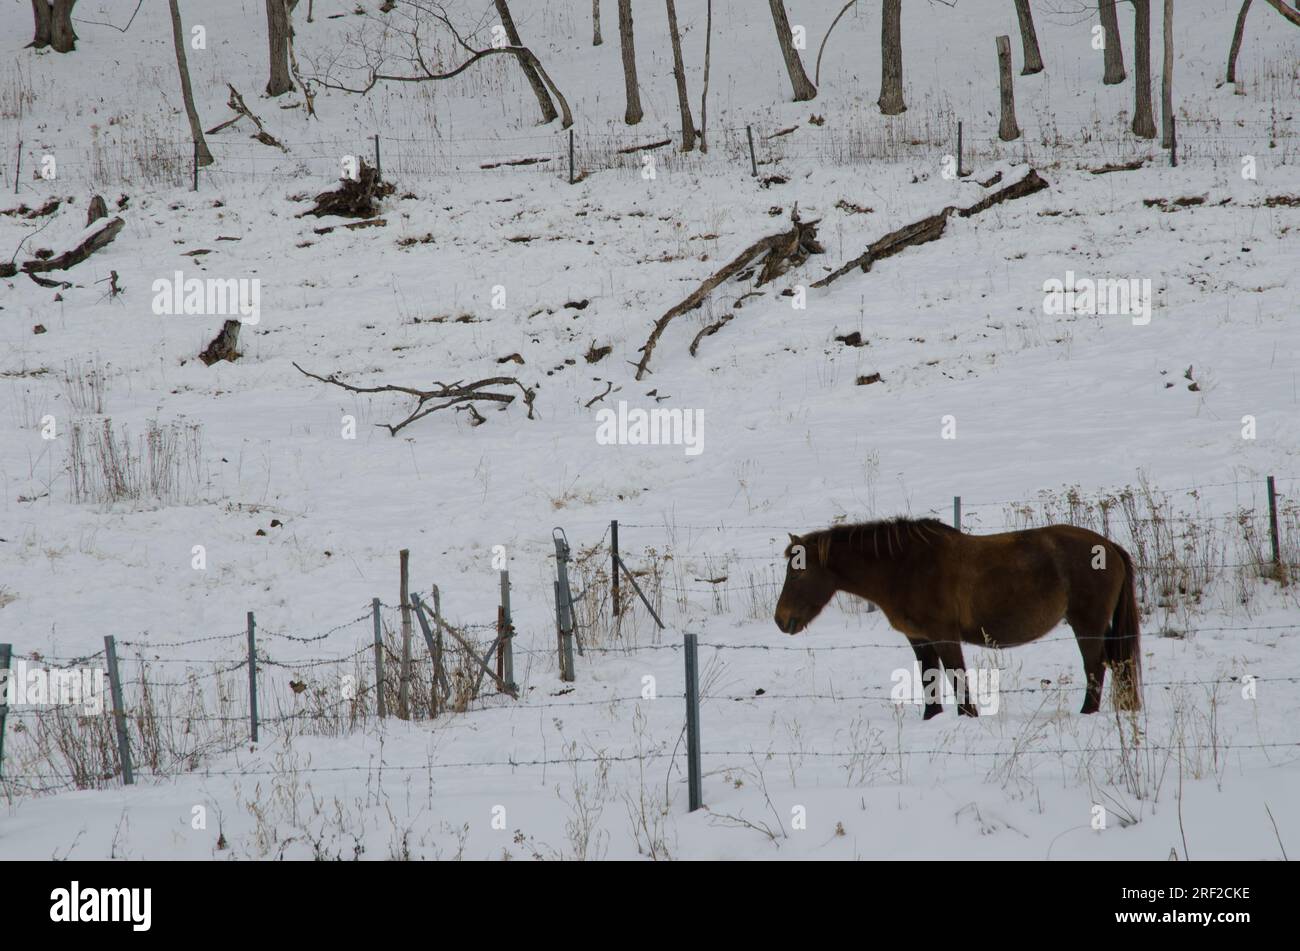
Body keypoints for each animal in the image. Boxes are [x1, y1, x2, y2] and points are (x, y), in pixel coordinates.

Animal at [774, 519, 1144, 711]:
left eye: (798, 573)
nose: (781, 619)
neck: (904, 567)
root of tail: (1109, 547)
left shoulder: (944, 636)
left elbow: (957, 680)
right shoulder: (919, 639)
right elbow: (930, 681)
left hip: (1087, 624)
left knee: (1095, 668)